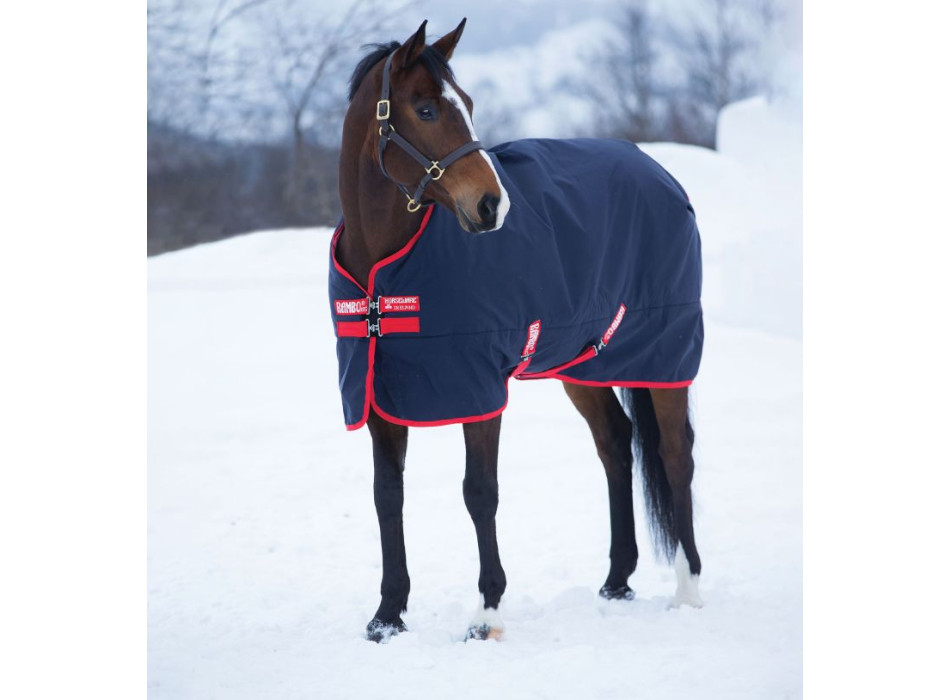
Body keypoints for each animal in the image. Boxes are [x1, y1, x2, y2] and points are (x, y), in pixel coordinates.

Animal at [332, 18, 704, 643]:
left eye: (468, 104)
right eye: (425, 109)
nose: (492, 206)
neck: (385, 270)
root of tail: (662, 175)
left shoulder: (480, 391)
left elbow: (479, 493)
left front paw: (486, 615)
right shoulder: (380, 393)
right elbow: (388, 496)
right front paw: (387, 616)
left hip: (665, 359)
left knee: (676, 456)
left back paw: (689, 591)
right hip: (584, 365)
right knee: (616, 445)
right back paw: (616, 582)